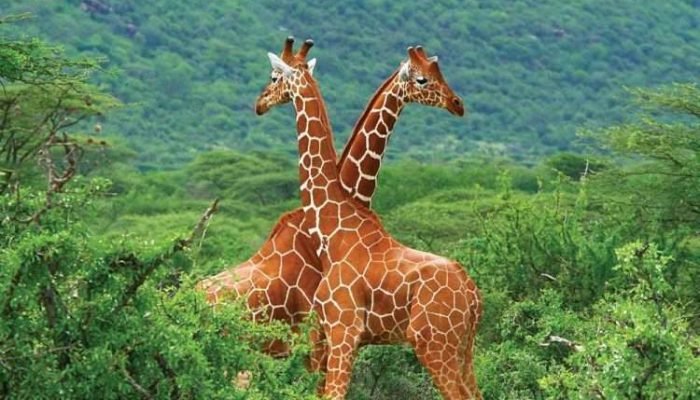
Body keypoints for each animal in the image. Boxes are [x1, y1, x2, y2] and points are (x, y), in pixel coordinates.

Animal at [254, 38, 482, 400]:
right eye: (424, 78)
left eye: (274, 77)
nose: (259, 102)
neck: (332, 226)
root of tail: (474, 298)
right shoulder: (331, 335)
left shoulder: (342, 330)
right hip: (463, 349)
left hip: (435, 344)